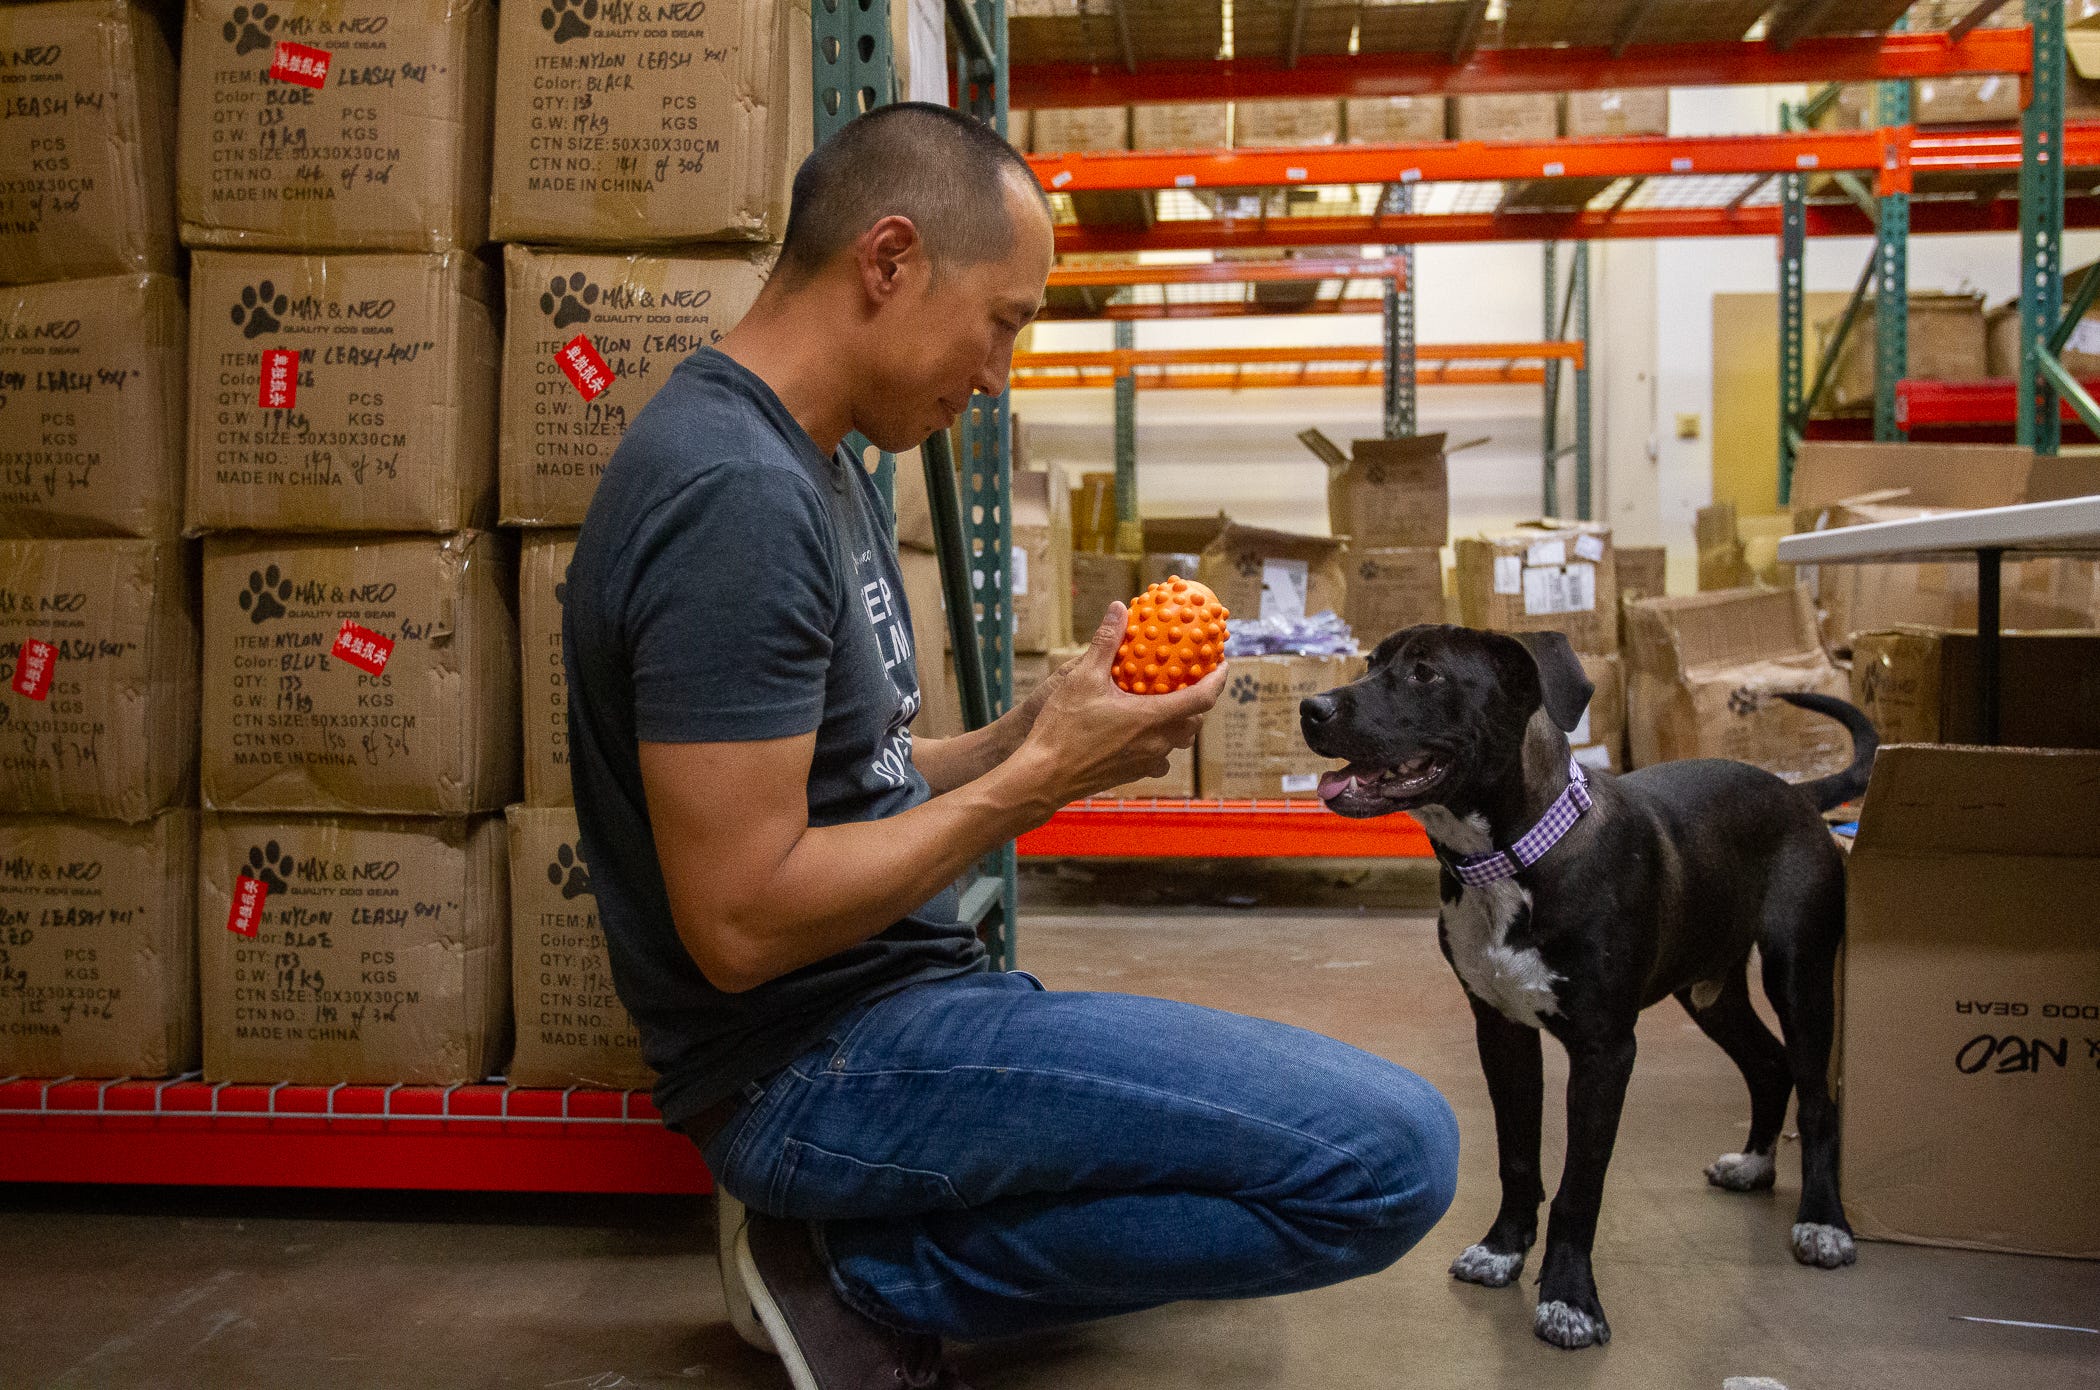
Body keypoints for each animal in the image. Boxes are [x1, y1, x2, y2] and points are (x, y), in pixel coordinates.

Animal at [1293, 625, 1873, 1352]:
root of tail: (1798, 792)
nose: (1310, 708)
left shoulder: (1605, 1052)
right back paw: (1753, 1164)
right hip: (1707, 987)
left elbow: (1580, 1185)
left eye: (1427, 674)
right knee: (1768, 1064)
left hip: (1799, 972)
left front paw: (1569, 1299)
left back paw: (1823, 1222)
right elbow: (1518, 1157)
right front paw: (1503, 1250)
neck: (1510, 858)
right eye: (1372, 663)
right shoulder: (1502, 1030)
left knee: (1817, 1094)